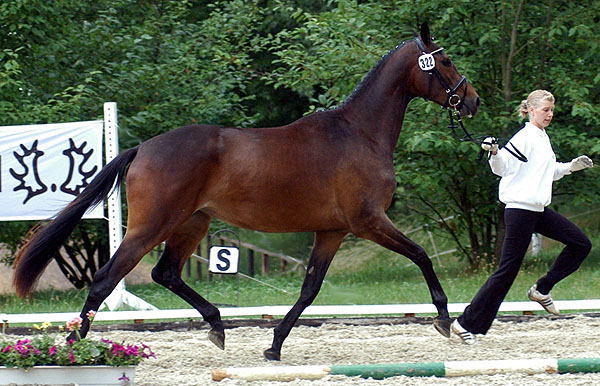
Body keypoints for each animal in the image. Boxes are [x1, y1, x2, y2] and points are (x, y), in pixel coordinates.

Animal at [12, 23, 478, 362]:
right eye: (446, 61)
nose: (471, 101)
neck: (358, 133)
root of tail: (143, 147)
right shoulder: (368, 222)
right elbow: (421, 255)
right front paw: (446, 320)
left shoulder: (332, 231)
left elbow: (309, 289)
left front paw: (274, 345)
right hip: (152, 226)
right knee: (106, 278)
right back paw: (74, 348)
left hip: (192, 224)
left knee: (166, 273)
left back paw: (218, 326)